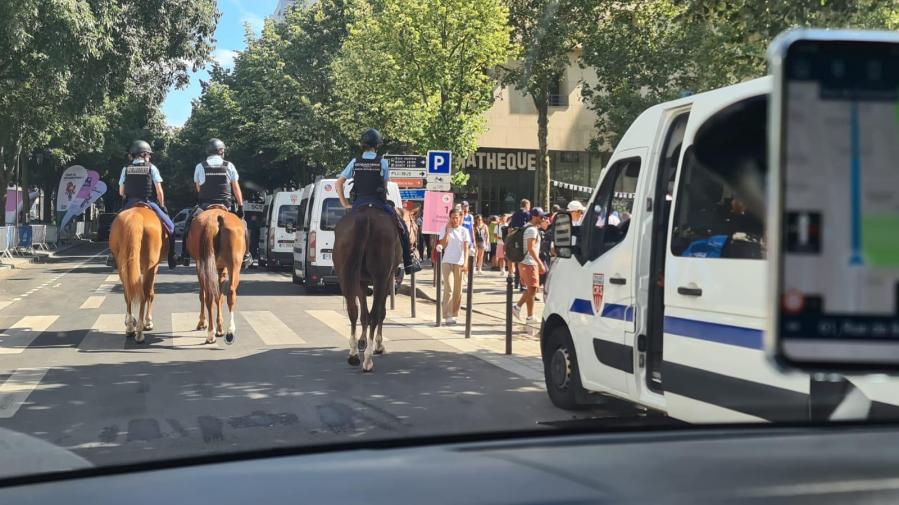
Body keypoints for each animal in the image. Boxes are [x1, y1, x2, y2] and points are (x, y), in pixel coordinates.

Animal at [108, 205, 167, 342]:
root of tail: (136, 216)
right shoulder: (154, 267)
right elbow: (151, 293)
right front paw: (148, 322)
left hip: (122, 267)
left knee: (128, 294)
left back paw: (130, 327)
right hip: (149, 266)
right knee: (144, 294)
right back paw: (140, 331)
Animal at [185, 207, 246, 344]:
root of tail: (216, 217)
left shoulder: (203, 268)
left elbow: (207, 295)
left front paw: (204, 322)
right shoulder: (221, 269)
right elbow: (219, 297)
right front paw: (219, 327)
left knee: (209, 296)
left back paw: (211, 333)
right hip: (234, 265)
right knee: (230, 293)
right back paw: (229, 331)